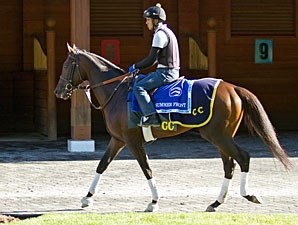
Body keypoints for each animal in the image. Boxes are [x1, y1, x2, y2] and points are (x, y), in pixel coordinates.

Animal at [54, 44, 292, 212]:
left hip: (219, 136)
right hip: (221, 137)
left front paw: (153, 202)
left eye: (66, 65)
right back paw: (215, 202)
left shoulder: (133, 142)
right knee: (229, 165)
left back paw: (248, 195)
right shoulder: (118, 140)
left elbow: (147, 169)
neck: (118, 92)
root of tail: (232, 87)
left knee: (243, 158)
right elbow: (101, 165)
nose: (58, 91)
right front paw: (87, 197)